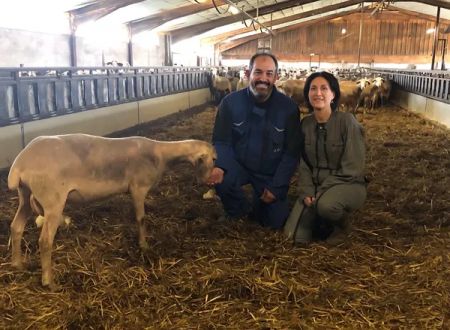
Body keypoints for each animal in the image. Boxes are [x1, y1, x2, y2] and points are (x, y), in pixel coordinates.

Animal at [7, 133, 217, 288]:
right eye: (213, 158)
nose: (208, 181)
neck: (161, 154)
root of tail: (19, 164)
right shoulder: (138, 187)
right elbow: (141, 218)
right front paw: (144, 245)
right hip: (52, 200)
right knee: (44, 241)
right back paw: (49, 282)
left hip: (25, 194)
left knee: (16, 227)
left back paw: (17, 264)